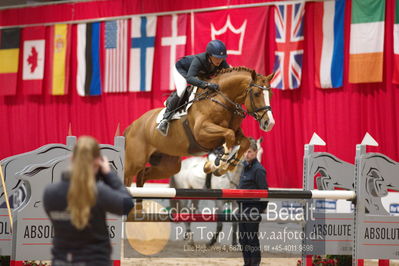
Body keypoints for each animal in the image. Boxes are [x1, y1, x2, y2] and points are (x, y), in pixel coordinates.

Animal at [125, 66, 276, 187]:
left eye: (271, 94)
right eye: (256, 94)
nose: (269, 123)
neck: (221, 100)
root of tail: (132, 125)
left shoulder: (236, 131)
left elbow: (243, 141)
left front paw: (227, 166)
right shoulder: (202, 133)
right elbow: (229, 135)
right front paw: (220, 163)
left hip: (168, 165)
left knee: (143, 175)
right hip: (134, 162)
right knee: (127, 177)